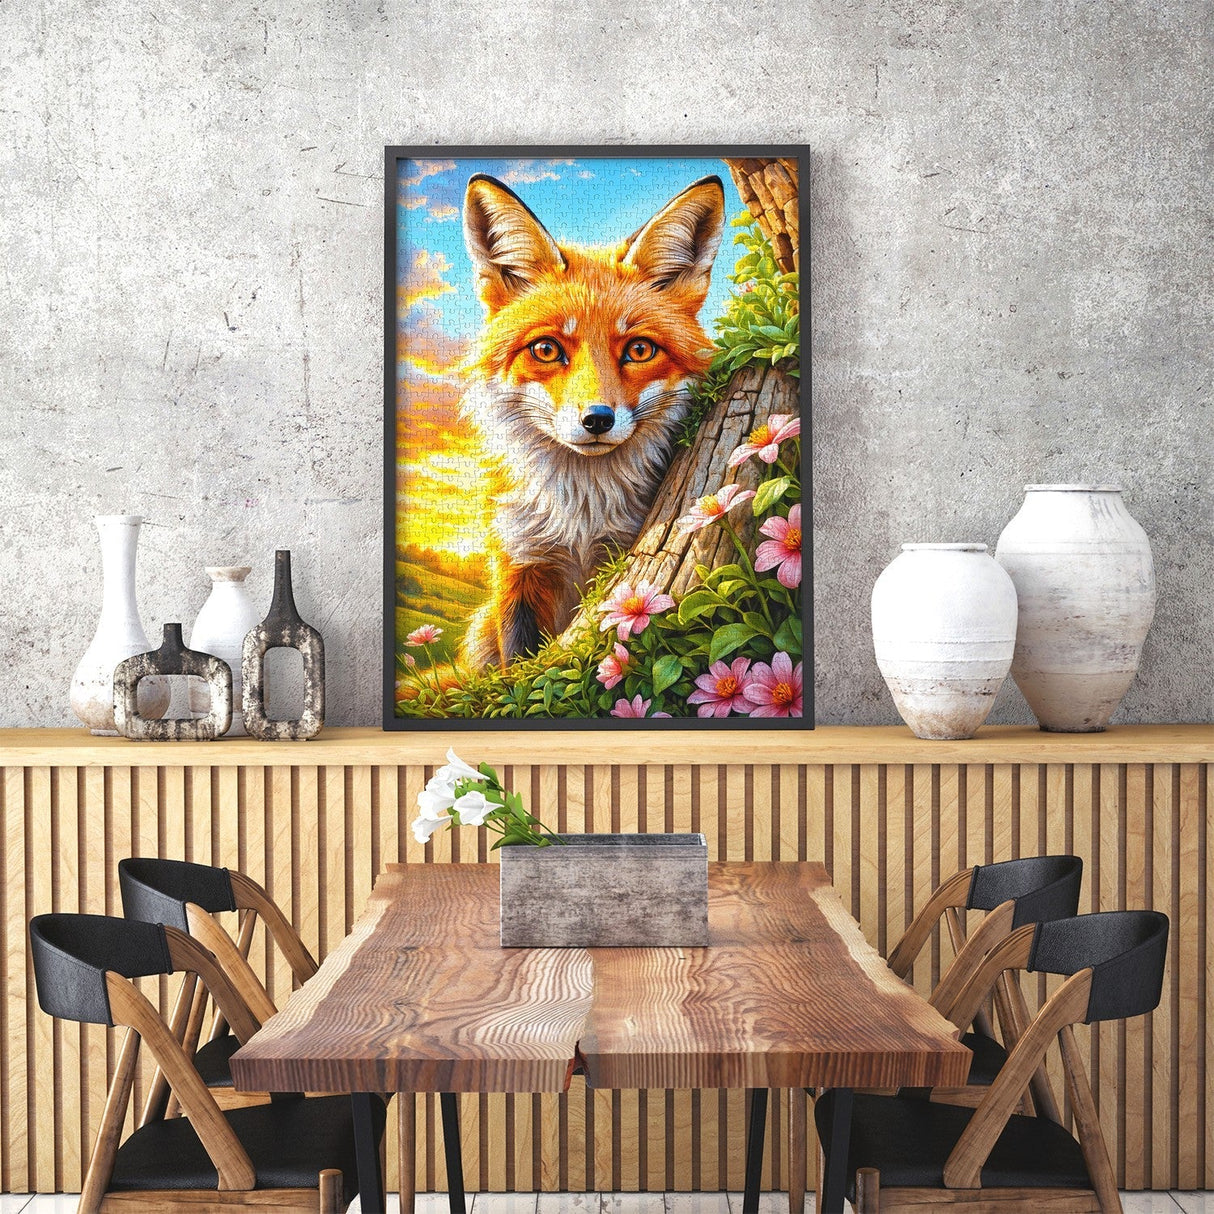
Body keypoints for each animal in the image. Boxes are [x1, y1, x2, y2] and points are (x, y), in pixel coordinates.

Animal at [457, 171, 726, 670]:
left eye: (639, 349)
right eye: (546, 349)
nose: (597, 419)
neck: (582, 516)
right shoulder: (520, 565)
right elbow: (519, 666)